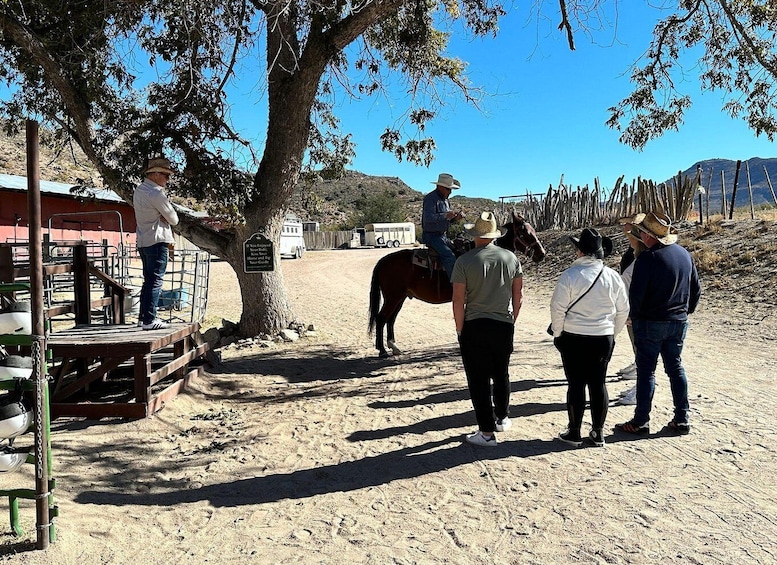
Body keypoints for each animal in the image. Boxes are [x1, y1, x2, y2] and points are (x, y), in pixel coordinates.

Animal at [366, 212, 544, 356]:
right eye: (524, 233)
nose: (541, 254)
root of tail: (383, 261)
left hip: (400, 297)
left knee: (391, 319)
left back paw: (393, 347)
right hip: (393, 297)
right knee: (381, 318)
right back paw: (382, 351)